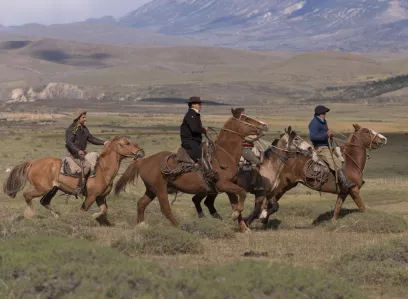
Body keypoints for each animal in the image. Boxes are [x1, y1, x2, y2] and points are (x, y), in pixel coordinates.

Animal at [2, 135, 143, 220]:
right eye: (127, 143)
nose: (141, 152)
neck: (103, 170)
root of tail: (33, 162)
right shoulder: (91, 197)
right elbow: (84, 210)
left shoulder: (100, 197)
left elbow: (103, 210)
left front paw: (95, 216)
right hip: (41, 188)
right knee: (27, 195)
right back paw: (30, 214)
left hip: (52, 189)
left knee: (44, 202)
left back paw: (56, 216)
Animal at [114, 112, 268, 232]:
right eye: (246, 119)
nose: (264, 125)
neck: (224, 155)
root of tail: (143, 161)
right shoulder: (223, 184)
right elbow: (242, 193)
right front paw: (235, 216)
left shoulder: (229, 187)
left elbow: (237, 202)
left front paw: (243, 227)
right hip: (159, 189)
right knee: (165, 208)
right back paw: (179, 227)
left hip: (151, 190)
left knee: (141, 203)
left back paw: (141, 225)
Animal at [247, 124, 388, 227]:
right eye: (366, 131)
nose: (384, 139)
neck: (350, 162)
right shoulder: (354, 189)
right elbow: (362, 207)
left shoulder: (343, 192)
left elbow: (337, 208)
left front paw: (333, 223)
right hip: (281, 186)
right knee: (268, 200)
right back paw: (261, 217)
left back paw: (263, 220)